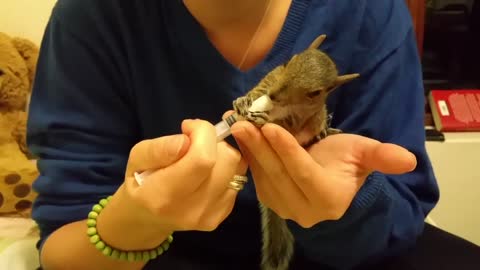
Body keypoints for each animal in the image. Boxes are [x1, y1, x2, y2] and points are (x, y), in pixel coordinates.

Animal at [232, 35, 360, 270]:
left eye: (315, 93)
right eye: (287, 62)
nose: (274, 96)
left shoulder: (305, 120)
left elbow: (290, 129)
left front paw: (265, 120)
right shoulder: (271, 78)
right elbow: (258, 91)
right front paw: (244, 101)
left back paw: (325, 133)